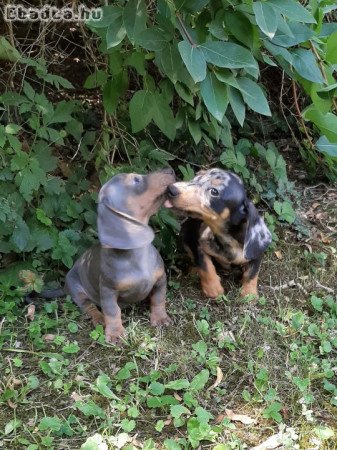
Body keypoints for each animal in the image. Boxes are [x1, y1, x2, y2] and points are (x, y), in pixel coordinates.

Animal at [63, 168, 176, 342]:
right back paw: (99, 318)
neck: (138, 254)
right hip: (75, 288)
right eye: (136, 180)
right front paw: (115, 333)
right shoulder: (108, 290)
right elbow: (112, 311)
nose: (169, 169)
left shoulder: (160, 279)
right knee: (88, 306)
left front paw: (160, 318)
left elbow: (159, 298)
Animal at [164, 169, 272, 298]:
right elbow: (205, 266)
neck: (226, 238)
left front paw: (249, 294)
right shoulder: (197, 244)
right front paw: (213, 289)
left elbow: (251, 274)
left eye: (214, 191)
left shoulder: (257, 253)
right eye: (196, 176)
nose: (170, 189)